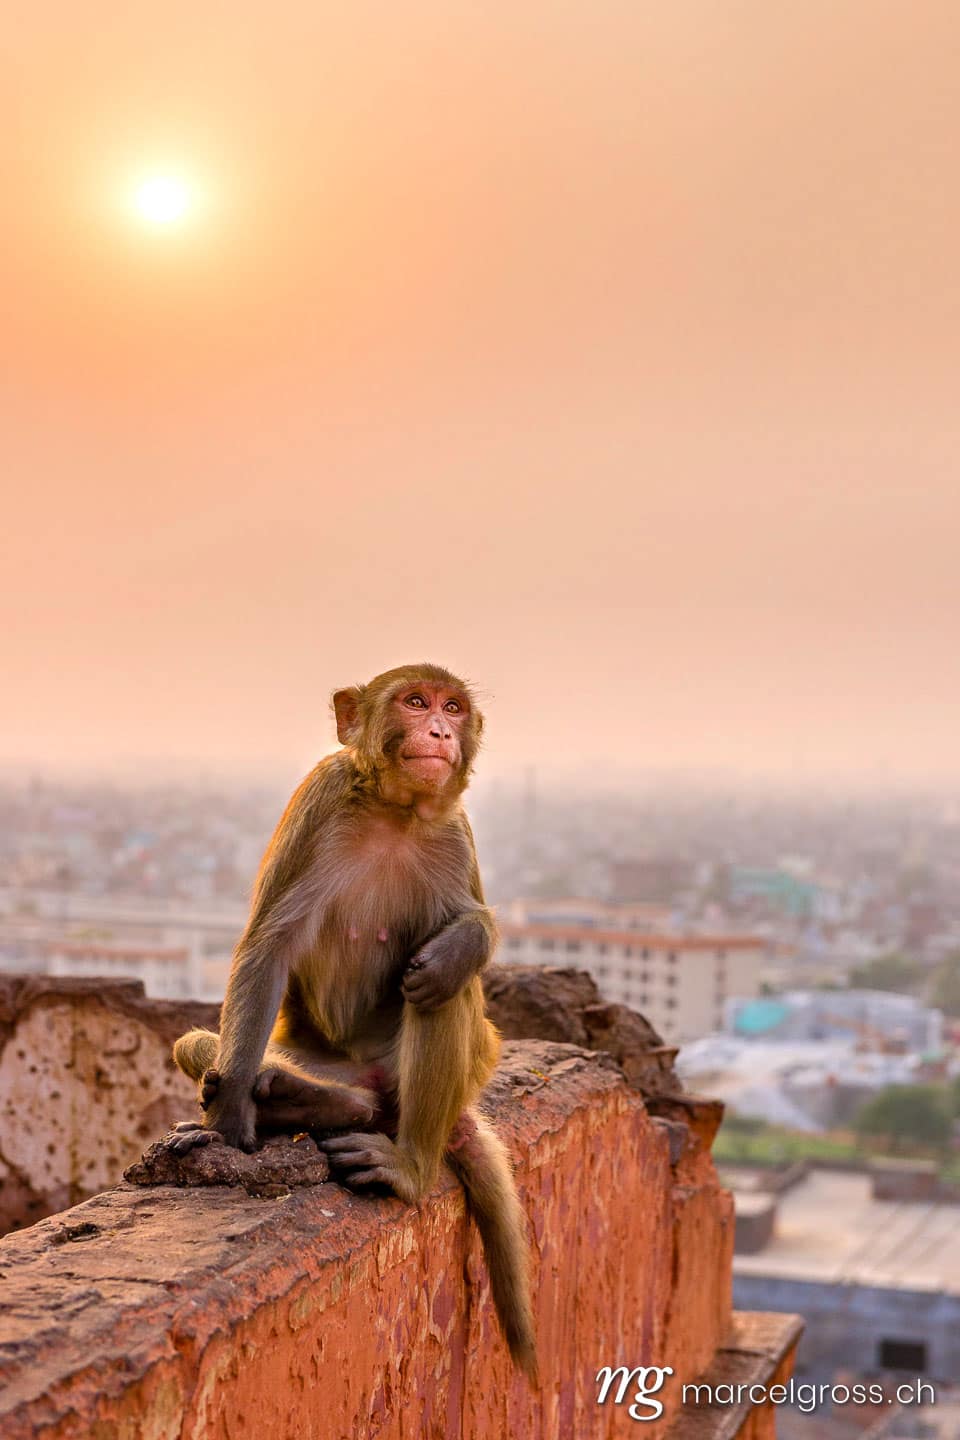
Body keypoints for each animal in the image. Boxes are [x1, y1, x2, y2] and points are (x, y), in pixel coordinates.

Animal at [167, 663, 537, 1380]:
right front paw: (229, 1119)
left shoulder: (456, 833)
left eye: (453, 707)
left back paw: (408, 1163)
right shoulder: (321, 799)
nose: (440, 731)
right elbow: (270, 945)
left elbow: (472, 923)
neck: (396, 811)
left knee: (441, 994)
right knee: (202, 1044)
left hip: (433, 1080)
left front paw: (457, 945)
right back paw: (300, 1098)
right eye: (415, 701)